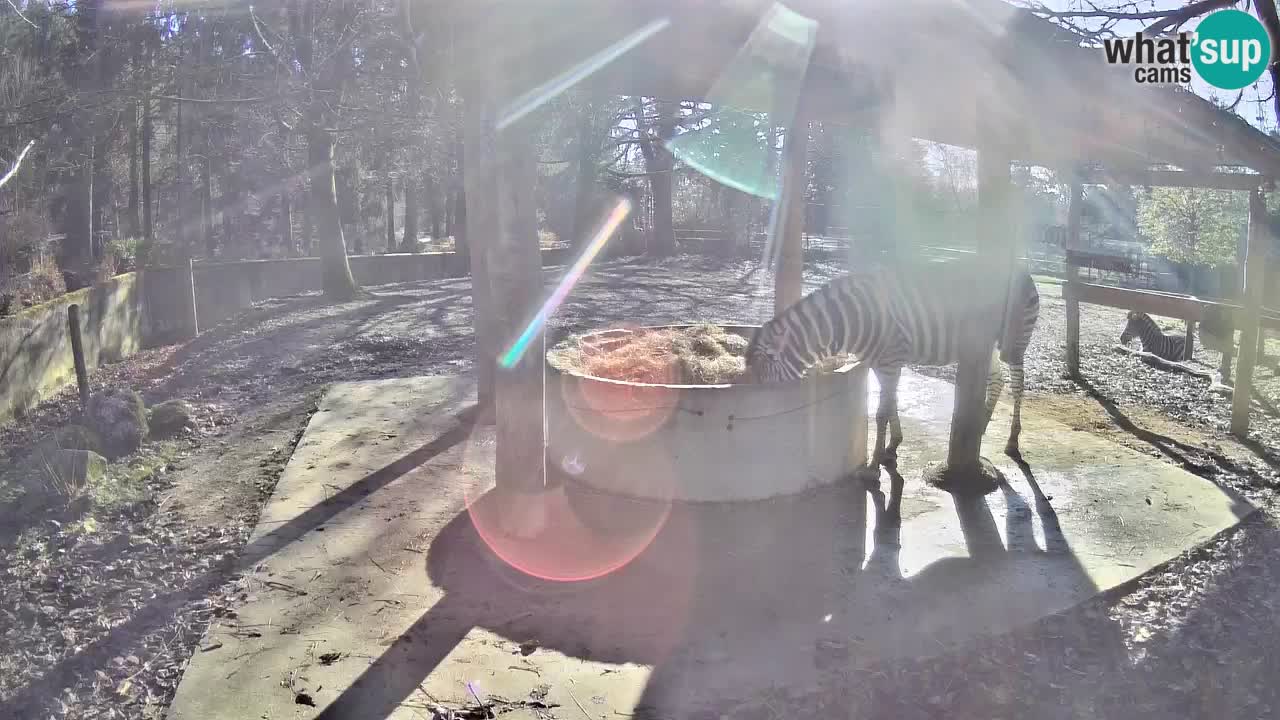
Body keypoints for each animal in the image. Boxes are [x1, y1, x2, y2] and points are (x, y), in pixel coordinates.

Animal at [742, 260, 1039, 468]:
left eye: (765, 383)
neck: (850, 321)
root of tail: (1021, 266)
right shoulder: (879, 364)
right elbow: (891, 403)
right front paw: (892, 446)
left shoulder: (892, 358)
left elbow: (881, 412)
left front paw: (875, 464)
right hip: (984, 346)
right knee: (997, 380)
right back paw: (981, 426)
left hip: (1013, 343)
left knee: (1018, 384)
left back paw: (1012, 441)